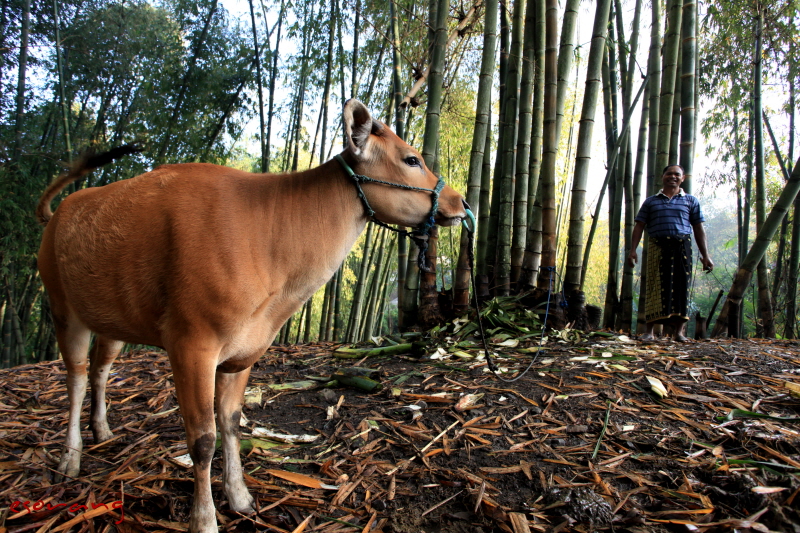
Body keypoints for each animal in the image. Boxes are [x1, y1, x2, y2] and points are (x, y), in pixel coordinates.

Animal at [36, 98, 468, 528]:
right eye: (412, 159)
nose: (461, 201)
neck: (269, 241)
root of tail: (59, 213)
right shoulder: (190, 344)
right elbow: (202, 439)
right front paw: (204, 519)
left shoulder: (242, 353)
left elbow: (230, 423)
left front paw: (240, 496)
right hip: (62, 309)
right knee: (75, 378)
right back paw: (69, 458)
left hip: (110, 320)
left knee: (100, 370)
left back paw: (102, 431)